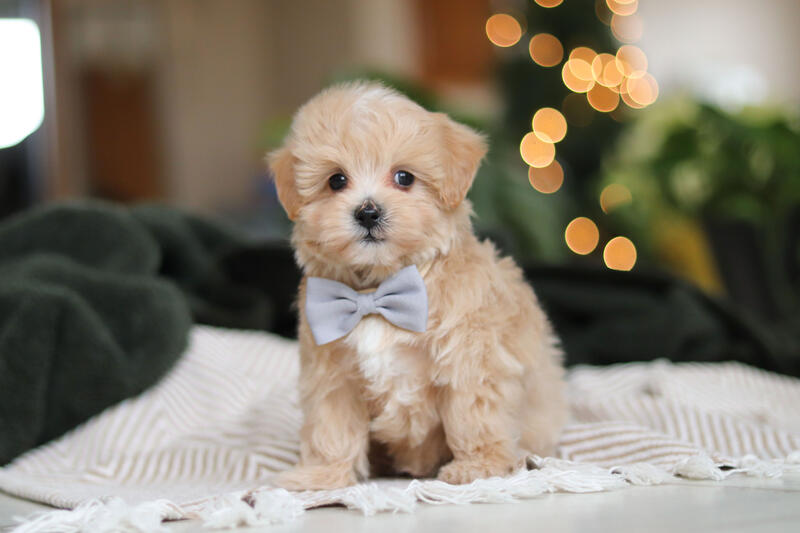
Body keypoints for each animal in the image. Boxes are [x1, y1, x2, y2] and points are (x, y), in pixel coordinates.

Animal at [268, 82, 566, 489]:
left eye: (404, 178)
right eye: (336, 180)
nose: (368, 212)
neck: (376, 292)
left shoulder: (471, 358)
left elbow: (473, 414)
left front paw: (480, 466)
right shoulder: (333, 373)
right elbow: (332, 427)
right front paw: (321, 474)